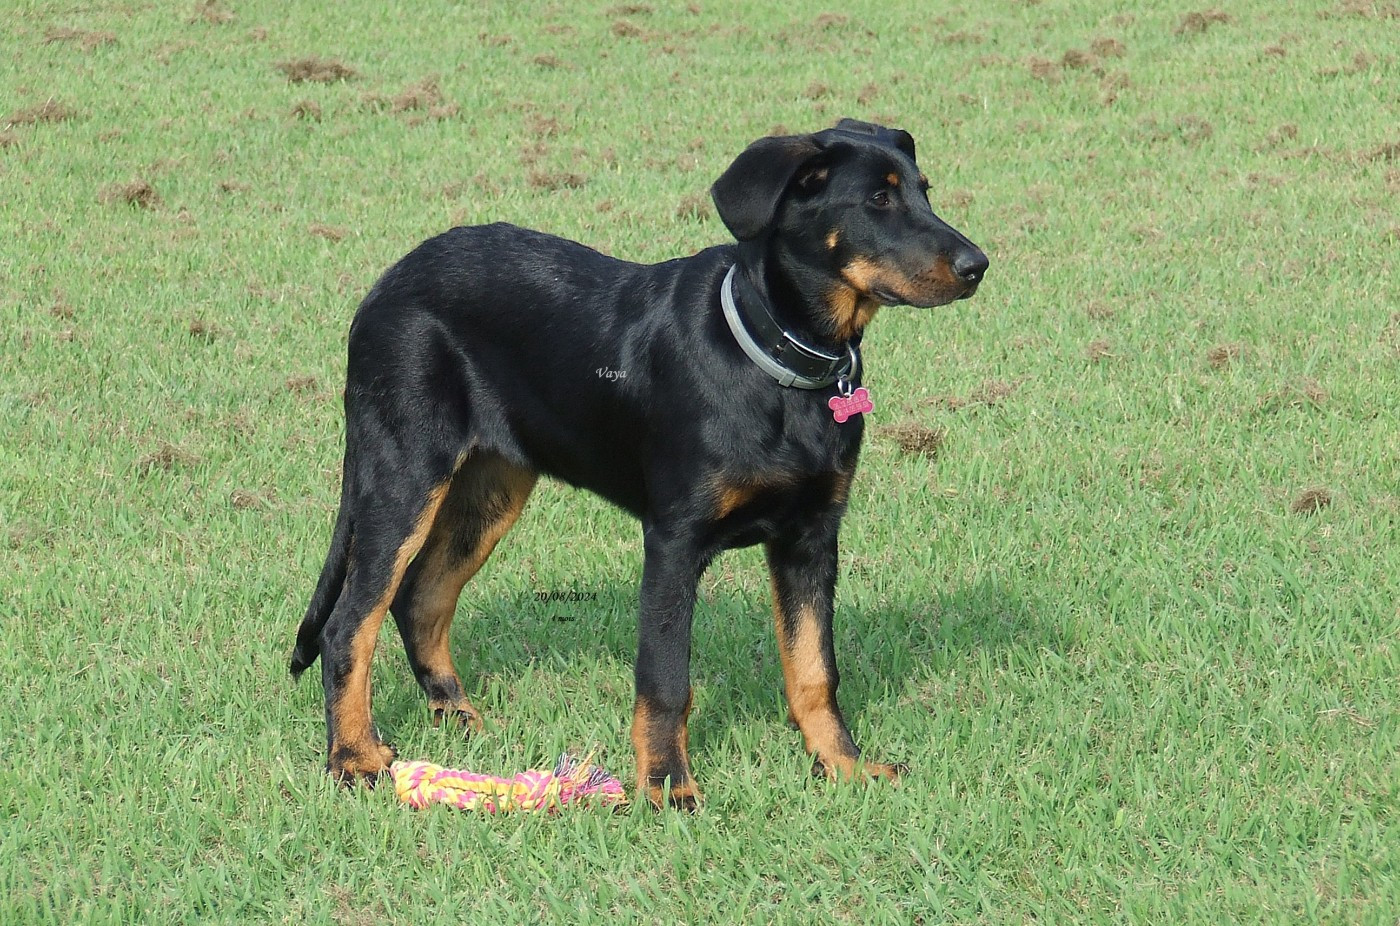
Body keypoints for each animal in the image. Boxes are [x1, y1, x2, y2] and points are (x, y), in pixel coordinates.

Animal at [290, 118, 988, 808]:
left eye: (924, 191)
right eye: (877, 200)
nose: (978, 266)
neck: (779, 361)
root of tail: (382, 287)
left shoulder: (812, 536)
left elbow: (815, 668)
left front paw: (844, 767)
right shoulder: (675, 539)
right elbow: (664, 680)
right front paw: (668, 788)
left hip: (490, 487)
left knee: (421, 598)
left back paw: (459, 722)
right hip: (405, 474)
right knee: (349, 623)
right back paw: (354, 759)